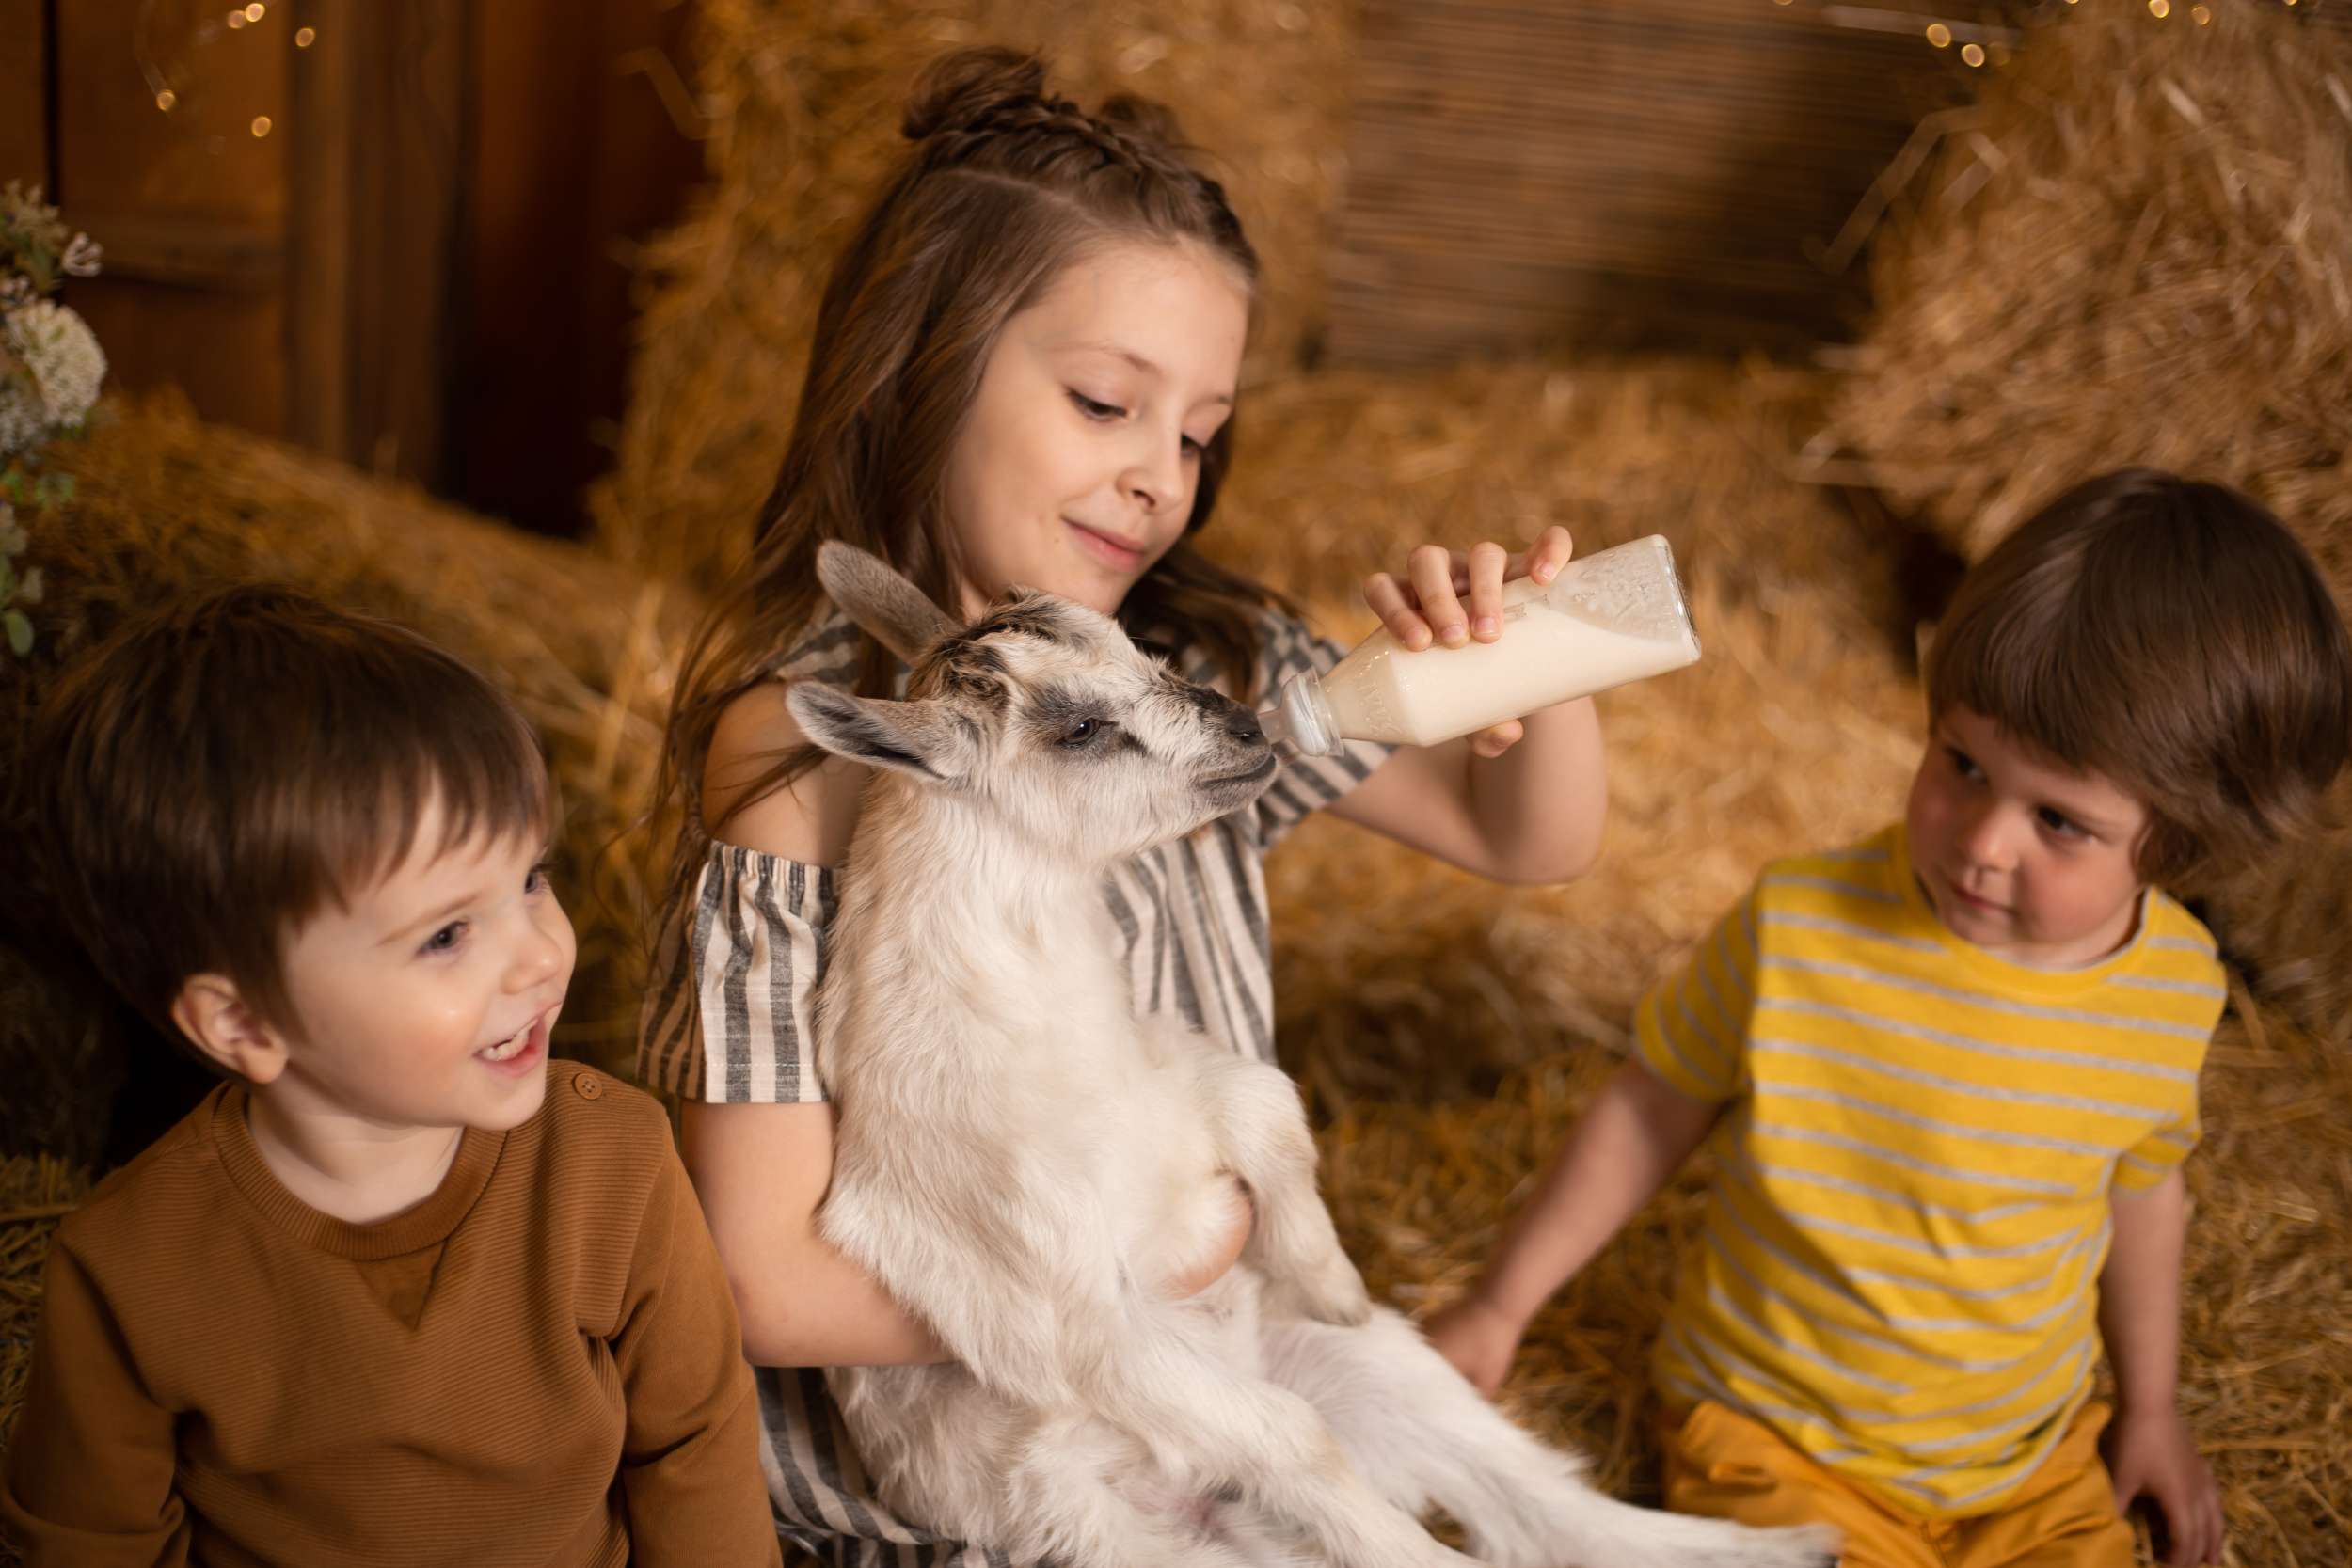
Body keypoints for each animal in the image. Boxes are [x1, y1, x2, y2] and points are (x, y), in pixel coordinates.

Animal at [790, 543, 1835, 1568]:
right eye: (1080, 727)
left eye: (1135, 643)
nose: (1250, 726)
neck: (1052, 1041)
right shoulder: (1062, 1310)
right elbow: (1291, 1436)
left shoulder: (1169, 1069)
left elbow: (1269, 1102)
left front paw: (1330, 1280)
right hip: (1116, 1527)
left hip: (1381, 1368)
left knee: (1541, 1496)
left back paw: (1788, 1543)